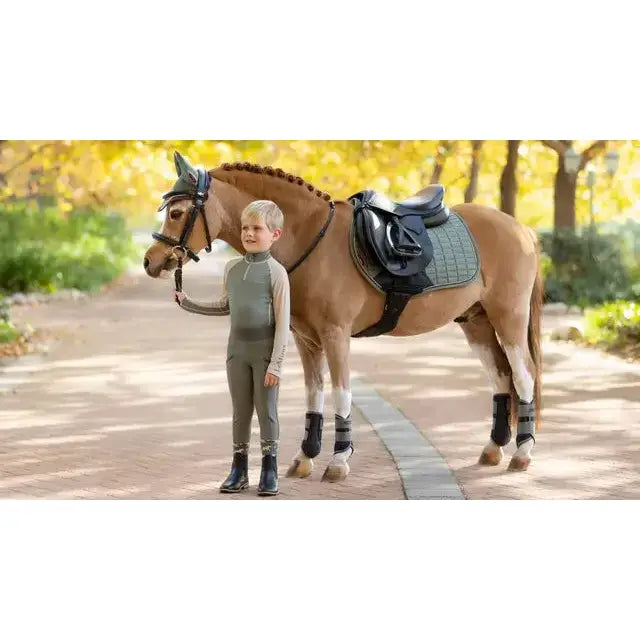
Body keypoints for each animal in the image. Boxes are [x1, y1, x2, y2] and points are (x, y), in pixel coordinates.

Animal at [143, 152, 542, 483]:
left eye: (176, 213)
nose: (150, 262)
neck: (309, 237)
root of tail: (521, 229)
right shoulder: (306, 339)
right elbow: (313, 395)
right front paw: (305, 458)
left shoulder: (335, 335)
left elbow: (341, 394)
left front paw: (338, 461)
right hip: (476, 323)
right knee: (501, 377)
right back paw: (493, 449)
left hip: (508, 318)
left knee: (524, 375)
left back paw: (521, 454)